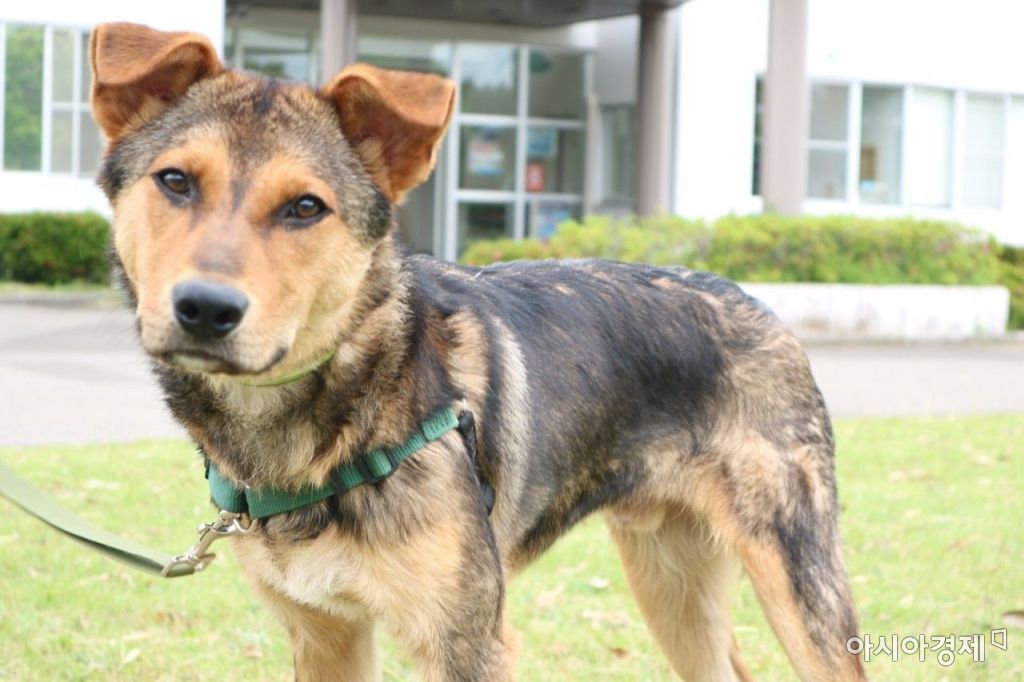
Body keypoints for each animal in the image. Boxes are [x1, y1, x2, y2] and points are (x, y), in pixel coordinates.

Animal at [90, 22, 866, 681]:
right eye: (175, 181)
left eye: (306, 208)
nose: (205, 309)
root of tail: (752, 299)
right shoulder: (323, 633)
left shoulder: (465, 642)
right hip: (669, 578)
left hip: (799, 586)